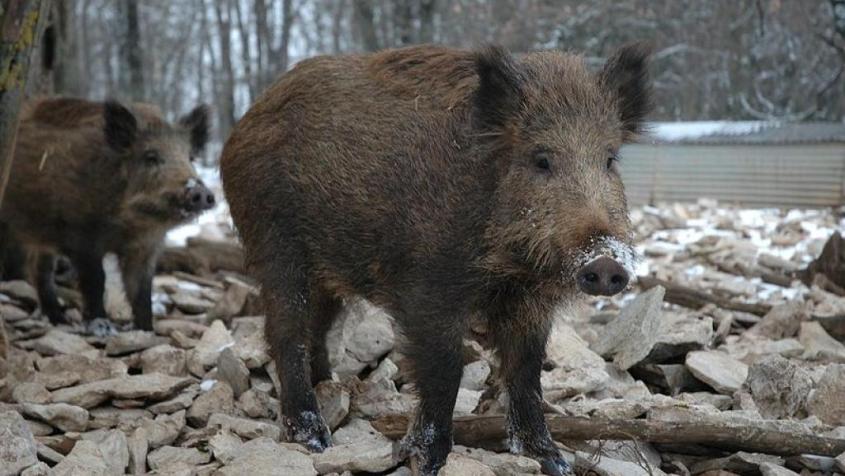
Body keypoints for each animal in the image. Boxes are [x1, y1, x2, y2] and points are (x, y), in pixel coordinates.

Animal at [0, 97, 215, 334]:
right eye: (151, 156)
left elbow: (142, 290)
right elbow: (96, 281)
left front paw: (146, 330)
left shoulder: (145, 248)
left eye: (190, 158)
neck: (129, 226)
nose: (199, 191)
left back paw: (61, 320)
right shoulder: (81, 238)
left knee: (39, 269)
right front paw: (101, 328)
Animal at [220, 43, 651, 475]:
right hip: (275, 246)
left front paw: (551, 460)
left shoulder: (530, 306)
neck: (507, 268)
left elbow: (527, 373)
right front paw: (429, 461)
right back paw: (314, 437)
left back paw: (330, 390)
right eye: (541, 159)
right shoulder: (428, 290)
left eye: (609, 159)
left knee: (318, 330)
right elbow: (446, 370)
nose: (606, 263)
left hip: (328, 273)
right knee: (286, 332)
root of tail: (244, 124)